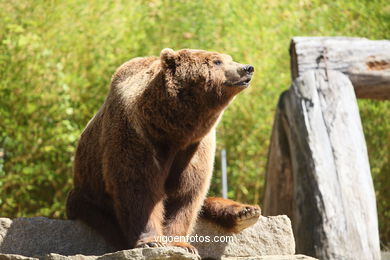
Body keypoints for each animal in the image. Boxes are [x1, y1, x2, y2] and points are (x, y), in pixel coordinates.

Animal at [66, 47, 260, 253]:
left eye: (229, 58)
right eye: (217, 61)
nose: (247, 68)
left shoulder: (196, 146)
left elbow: (186, 193)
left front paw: (180, 243)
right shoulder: (136, 134)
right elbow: (139, 187)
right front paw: (152, 240)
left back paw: (246, 212)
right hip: (88, 195)